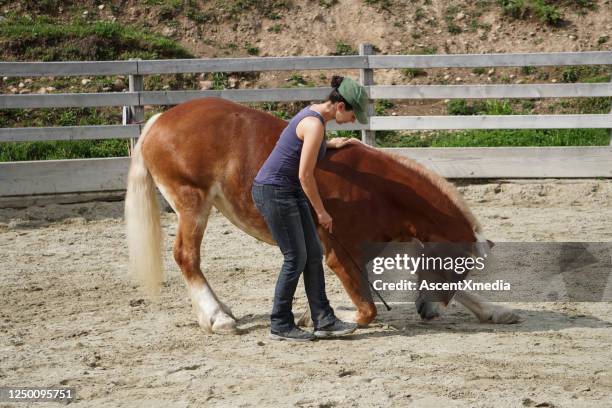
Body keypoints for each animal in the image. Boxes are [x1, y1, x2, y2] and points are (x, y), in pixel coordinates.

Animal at [126, 97, 520, 334]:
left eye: (463, 269)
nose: (429, 310)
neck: (379, 191)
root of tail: (161, 119)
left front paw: (495, 311)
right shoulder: (341, 258)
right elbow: (367, 311)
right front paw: (318, 316)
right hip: (193, 204)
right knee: (186, 257)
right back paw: (217, 317)